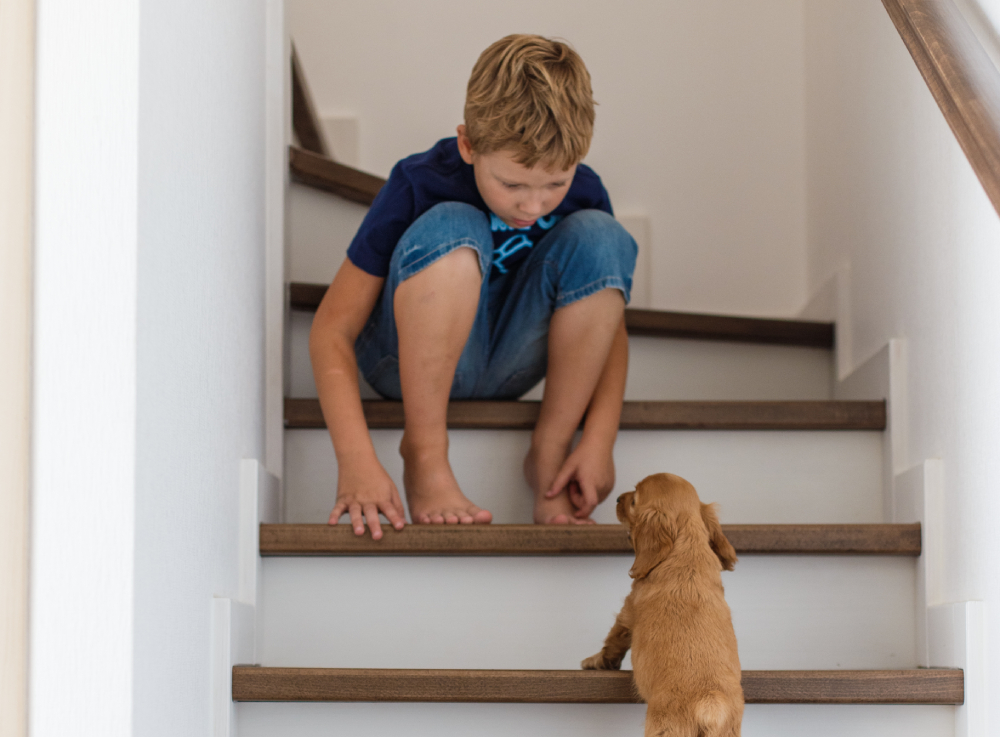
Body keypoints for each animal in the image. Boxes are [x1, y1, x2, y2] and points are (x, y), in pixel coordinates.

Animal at [580, 472, 744, 736]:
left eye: (633, 500)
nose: (617, 499)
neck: (686, 546)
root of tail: (709, 704)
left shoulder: (628, 610)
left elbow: (613, 641)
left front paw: (595, 662)